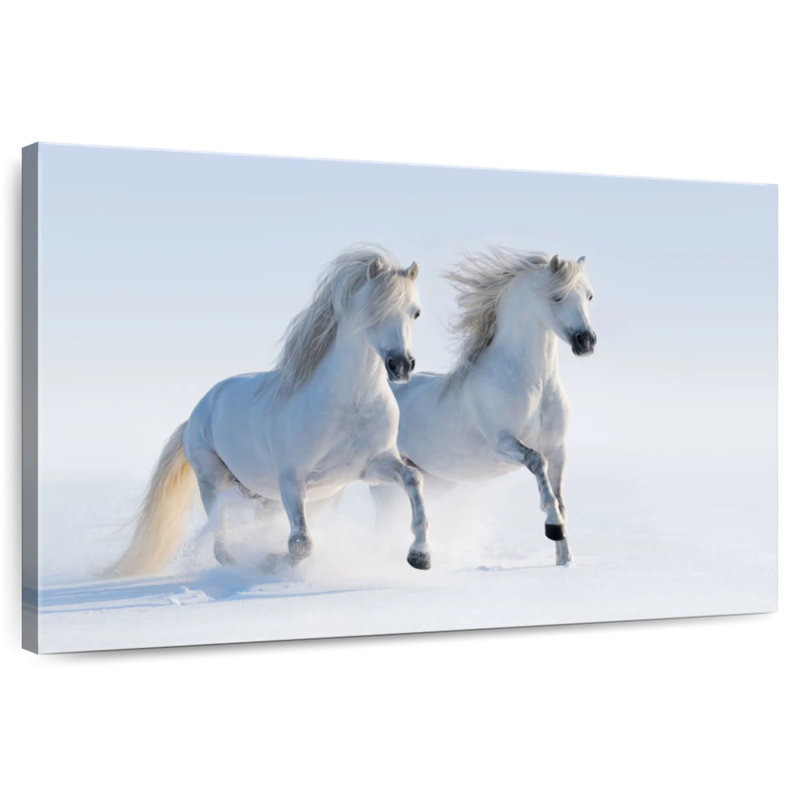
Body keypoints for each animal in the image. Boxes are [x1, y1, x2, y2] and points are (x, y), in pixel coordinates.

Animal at [109, 245, 431, 577]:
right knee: (220, 541)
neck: (350, 405)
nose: (401, 365)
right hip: (212, 479)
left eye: (415, 312)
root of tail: (197, 413)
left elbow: (414, 479)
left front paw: (420, 556)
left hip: (260, 495)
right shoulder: (292, 480)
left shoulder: (372, 466)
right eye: (373, 310)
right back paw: (239, 565)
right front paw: (270, 561)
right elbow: (301, 544)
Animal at [374, 248, 596, 567]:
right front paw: (553, 527)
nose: (586, 342)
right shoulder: (502, 444)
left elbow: (560, 497)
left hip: (434, 479)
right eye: (557, 296)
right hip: (382, 479)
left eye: (589, 296)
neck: (535, 385)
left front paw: (565, 560)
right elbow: (537, 462)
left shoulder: (558, 449)